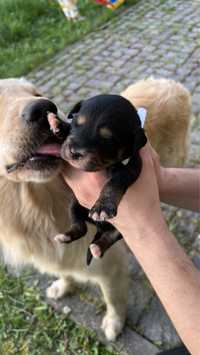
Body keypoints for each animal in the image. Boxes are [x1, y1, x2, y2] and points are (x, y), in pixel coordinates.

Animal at [55, 94, 146, 264]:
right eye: (76, 123)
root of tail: (98, 227)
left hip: (123, 230)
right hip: (74, 205)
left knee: (109, 236)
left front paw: (102, 206)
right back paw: (65, 237)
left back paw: (97, 248)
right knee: (81, 227)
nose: (74, 152)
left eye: (107, 139)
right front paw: (57, 124)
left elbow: (114, 182)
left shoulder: (132, 168)